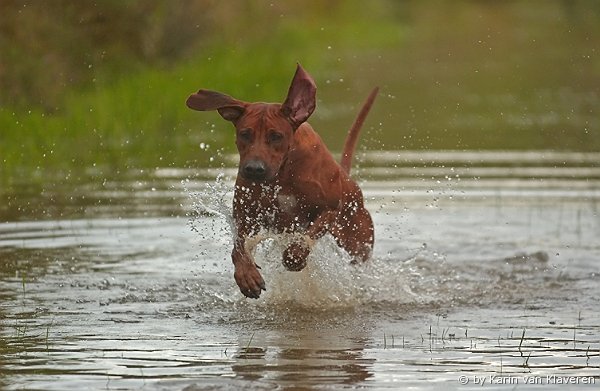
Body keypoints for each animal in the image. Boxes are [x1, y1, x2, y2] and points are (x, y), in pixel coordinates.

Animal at [185, 64, 378, 298]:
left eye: (276, 136)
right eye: (244, 134)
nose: (253, 169)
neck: (284, 173)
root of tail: (348, 177)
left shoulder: (330, 209)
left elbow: (308, 235)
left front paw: (294, 256)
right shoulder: (246, 217)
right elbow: (238, 248)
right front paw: (246, 276)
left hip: (358, 241)